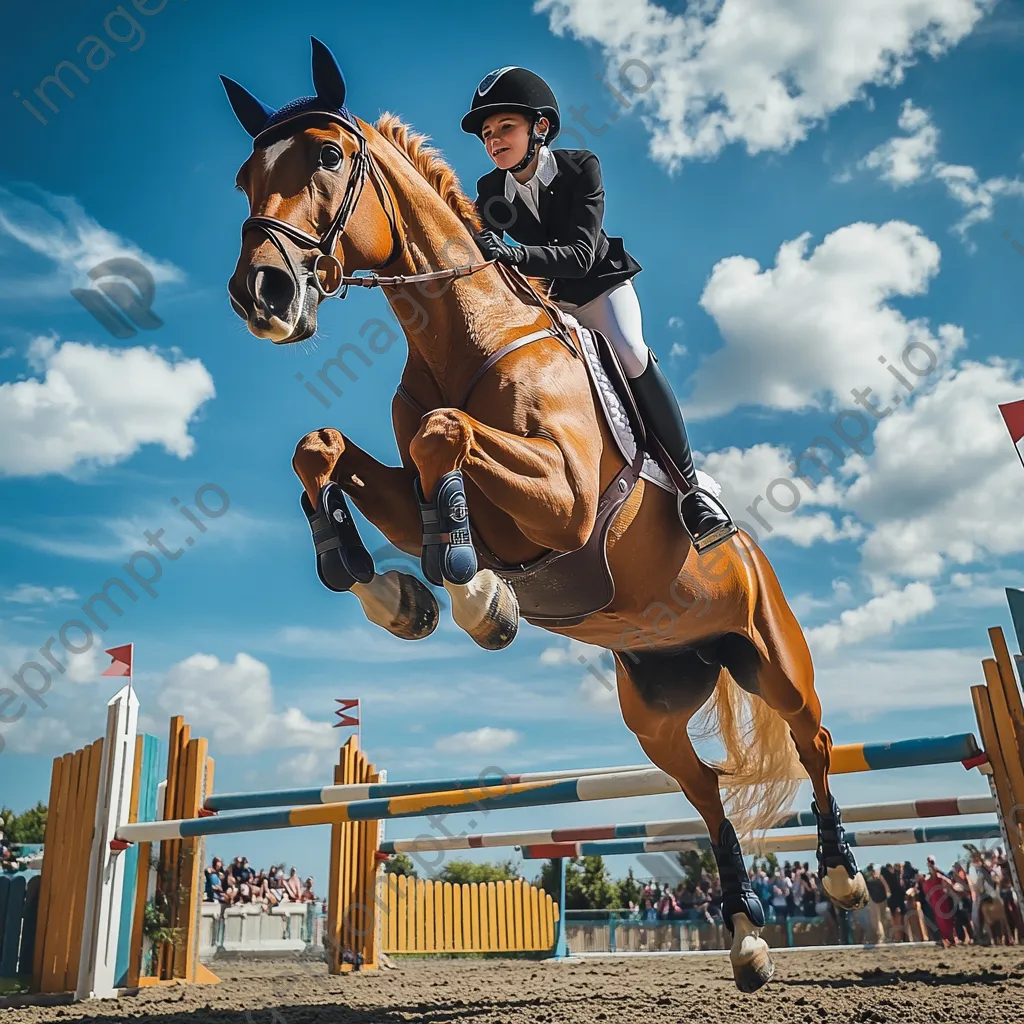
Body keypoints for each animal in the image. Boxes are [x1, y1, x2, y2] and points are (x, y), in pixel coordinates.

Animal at [220, 36, 868, 987]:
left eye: (330, 157)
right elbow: (325, 447)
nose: (262, 293)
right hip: (654, 705)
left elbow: (444, 437)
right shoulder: (414, 495)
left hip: (772, 656)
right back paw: (747, 936)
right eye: (244, 177)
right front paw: (392, 593)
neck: (467, 337)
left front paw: (476, 594)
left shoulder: (563, 501)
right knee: (704, 787)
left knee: (813, 741)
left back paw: (840, 873)